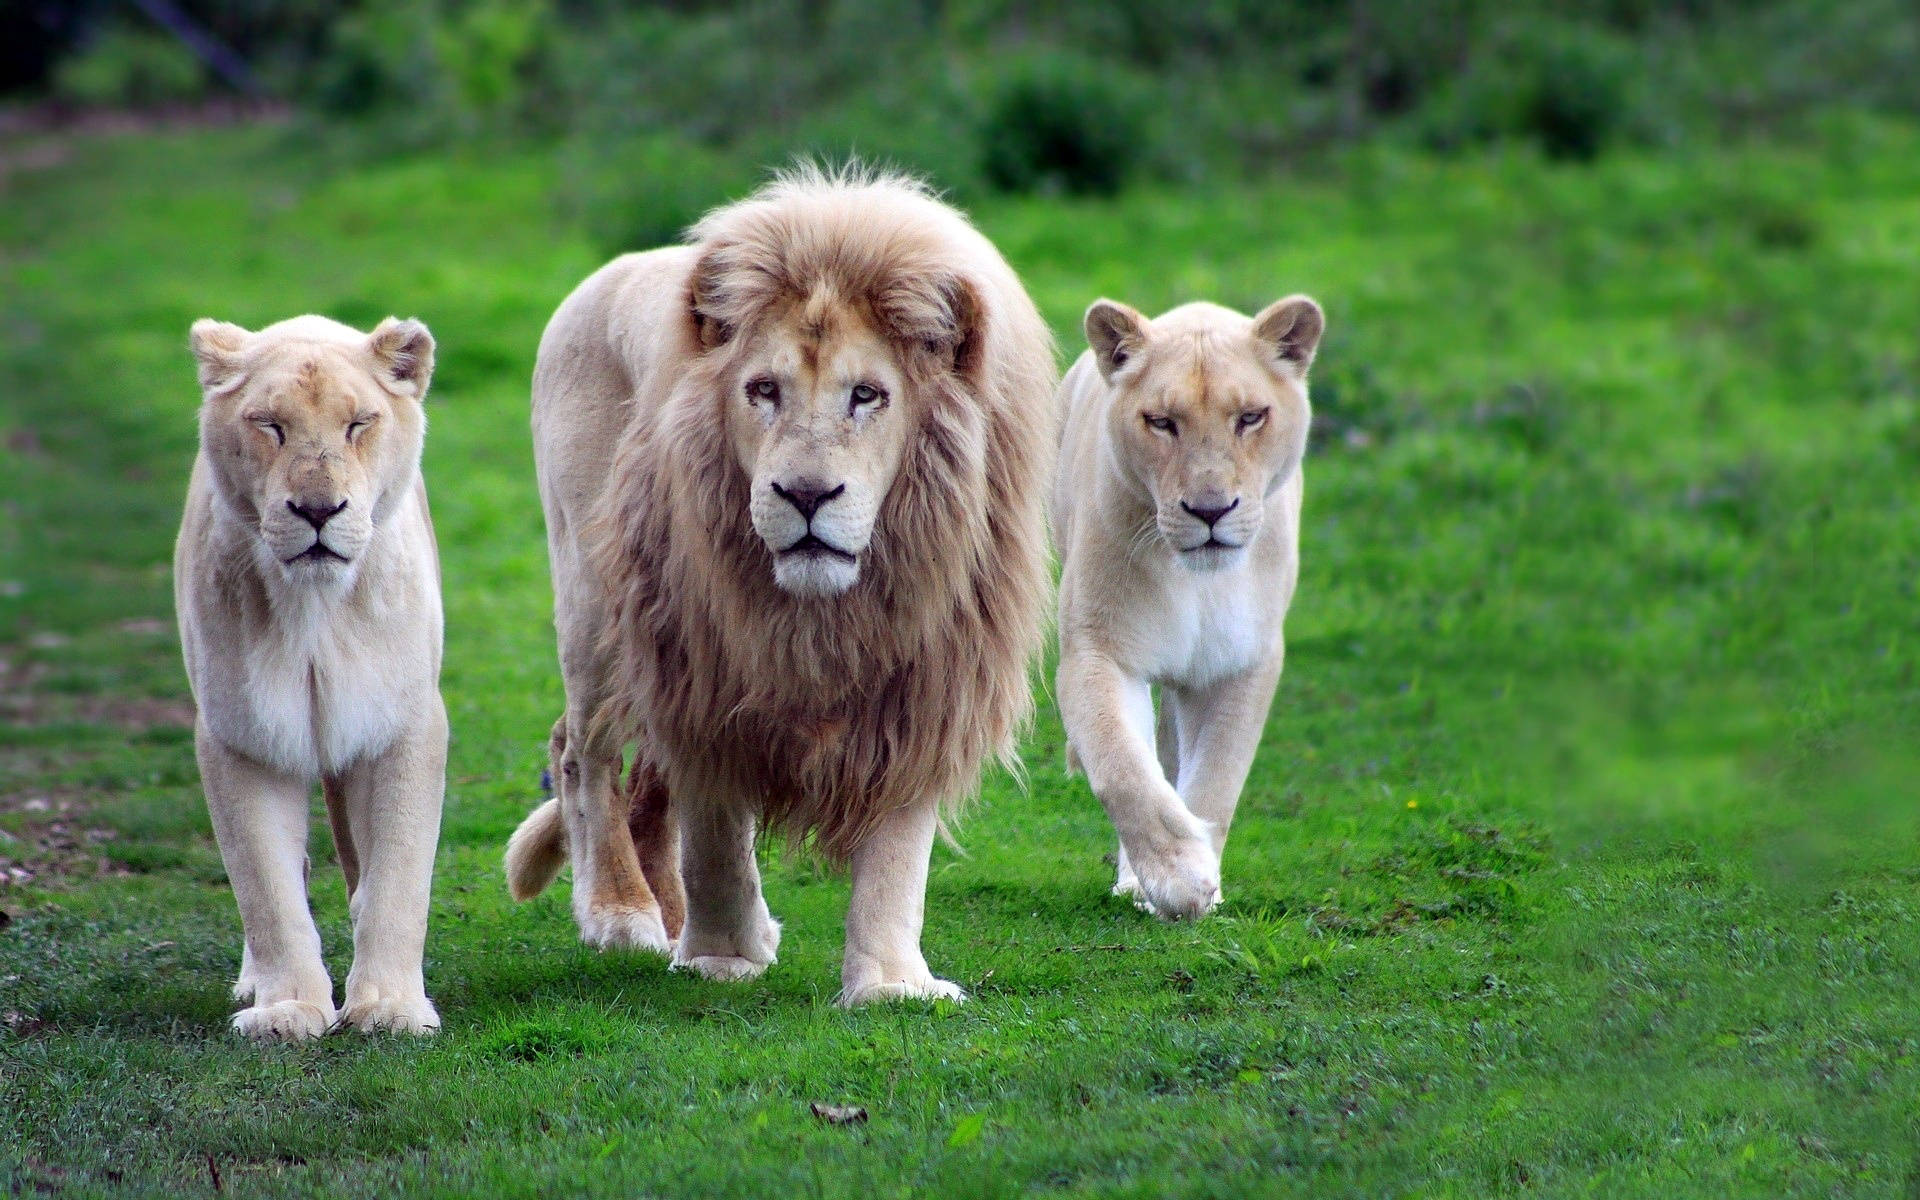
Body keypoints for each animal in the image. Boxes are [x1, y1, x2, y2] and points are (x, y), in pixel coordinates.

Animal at [175, 313, 446, 1041]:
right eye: (270, 425)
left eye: (359, 424)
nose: (319, 510)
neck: (315, 609)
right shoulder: (241, 736)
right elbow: (266, 887)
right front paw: (288, 1009)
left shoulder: (402, 726)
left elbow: (398, 876)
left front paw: (389, 1007)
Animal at [503, 167, 1055, 1003]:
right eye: (763, 390)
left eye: (867, 394)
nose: (804, 494)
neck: (825, 614)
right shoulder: (702, 671)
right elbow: (716, 834)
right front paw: (721, 957)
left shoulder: (926, 682)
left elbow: (897, 852)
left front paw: (890, 985)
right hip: (598, 604)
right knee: (582, 753)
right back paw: (622, 914)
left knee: (645, 783)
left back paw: (671, 913)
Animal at [1053, 296, 1323, 920]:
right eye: (1161, 422)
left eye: (1250, 417)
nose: (1210, 510)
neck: (1197, 583)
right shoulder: (1097, 651)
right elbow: (1123, 768)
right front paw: (1178, 878)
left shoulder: (1242, 662)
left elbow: (1217, 779)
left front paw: (1204, 882)